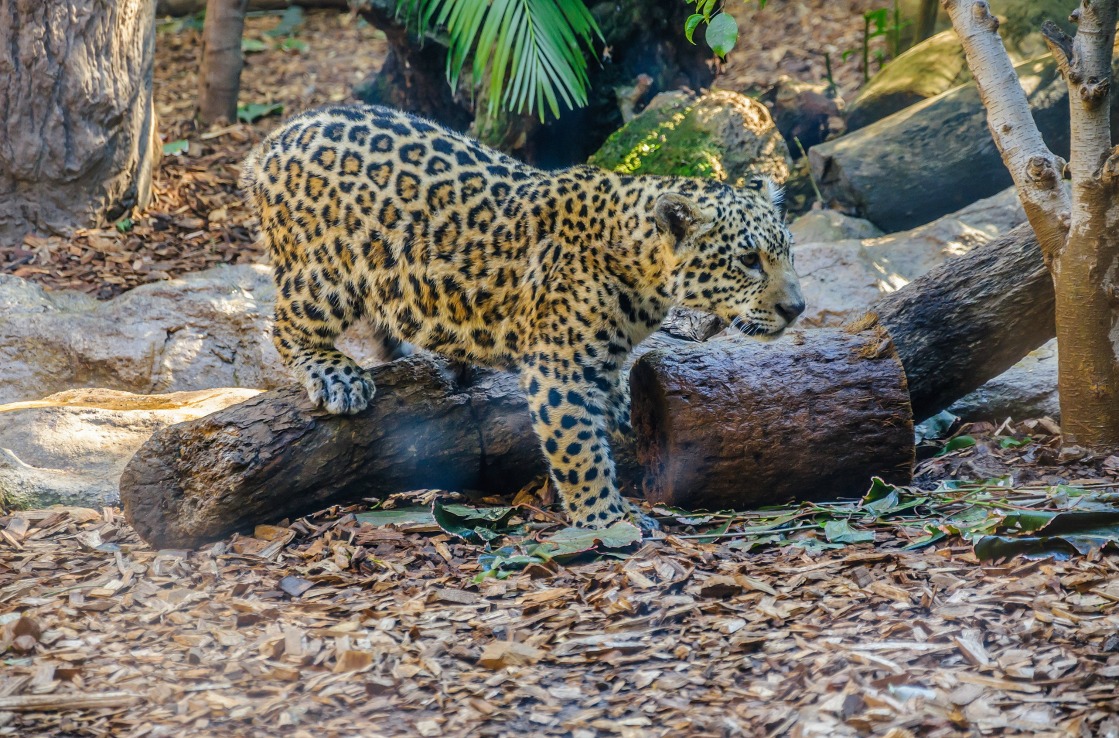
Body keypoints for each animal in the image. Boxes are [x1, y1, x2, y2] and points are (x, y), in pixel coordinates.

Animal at [242, 102, 805, 530]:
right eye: (748, 260)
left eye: (787, 250)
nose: (796, 308)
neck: (642, 271)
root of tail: (271, 142)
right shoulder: (559, 368)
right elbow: (579, 448)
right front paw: (608, 516)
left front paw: (628, 415)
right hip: (324, 277)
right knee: (286, 326)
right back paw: (339, 377)